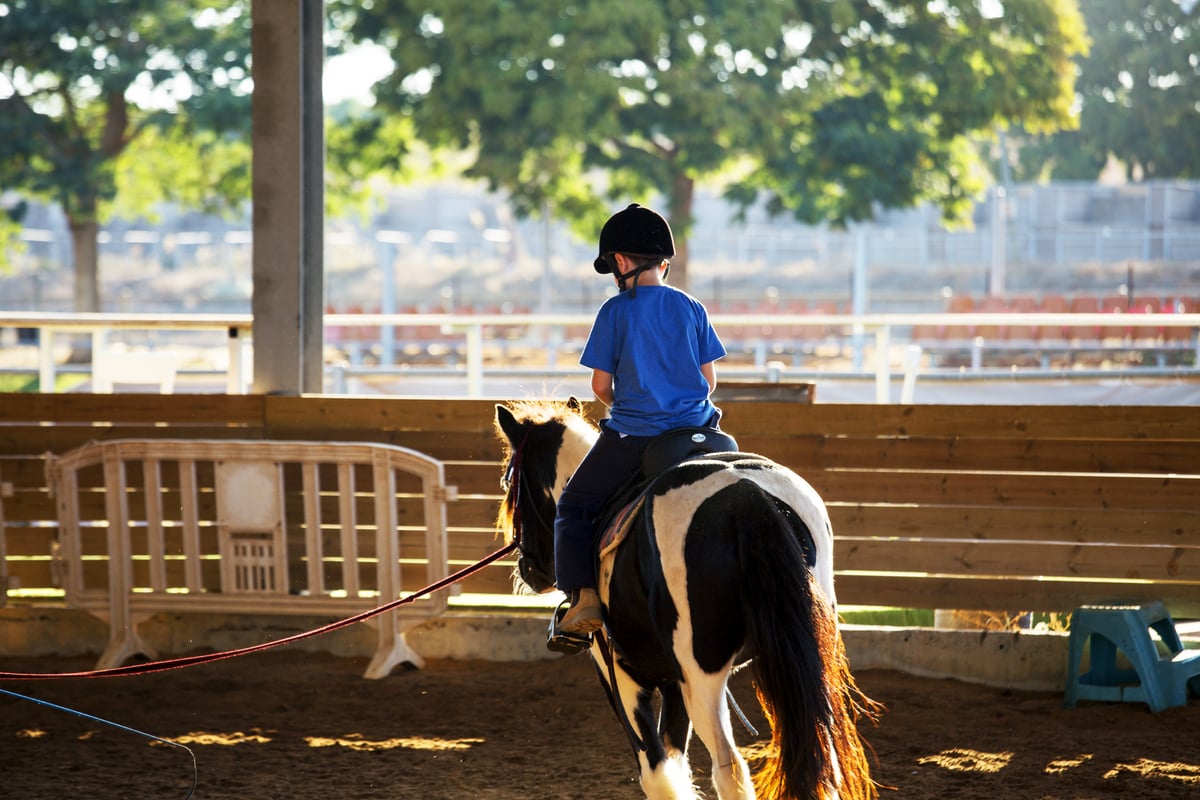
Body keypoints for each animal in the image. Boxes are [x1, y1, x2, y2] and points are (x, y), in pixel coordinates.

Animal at [492, 400, 878, 800]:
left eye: (508, 480)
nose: (529, 569)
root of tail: (746, 495)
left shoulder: (619, 671)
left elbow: (657, 771)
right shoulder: (672, 678)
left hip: (703, 676)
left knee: (730, 767)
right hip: (810, 662)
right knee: (822, 759)